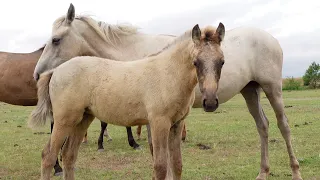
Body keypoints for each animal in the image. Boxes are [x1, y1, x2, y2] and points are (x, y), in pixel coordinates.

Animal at [32, 3, 302, 180]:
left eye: (55, 40)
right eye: (195, 62)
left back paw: (293, 171)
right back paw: (263, 172)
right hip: (250, 90)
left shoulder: (169, 123)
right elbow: (162, 163)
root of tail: (56, 72)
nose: (36, 74)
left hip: (271, 87)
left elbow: (173, 164)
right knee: (53, 155)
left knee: (282, 126)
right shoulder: (159, 121)